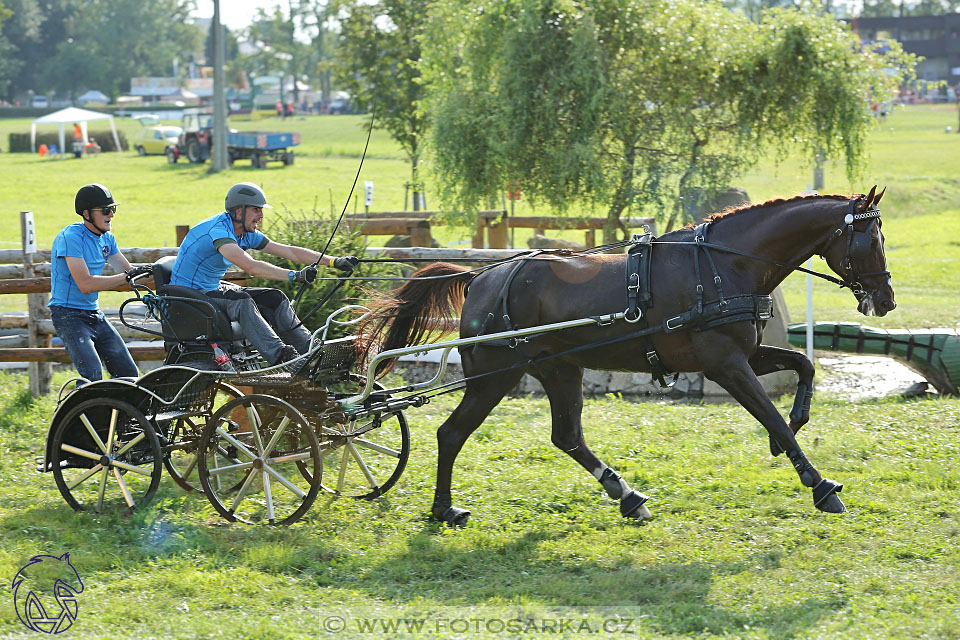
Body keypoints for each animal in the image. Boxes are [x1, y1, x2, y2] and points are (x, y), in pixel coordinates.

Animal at [358, 186, 892, 524]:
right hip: (495, 376)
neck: (724, 266)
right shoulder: (726, 365)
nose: (885, 300)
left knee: (567, 437)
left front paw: (796, 426)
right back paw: (444, 509)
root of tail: (481, 278)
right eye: (871, 240)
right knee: (452, 434)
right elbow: (771, 415)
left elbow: (803, 367)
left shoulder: (747, 354)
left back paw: (628, 496)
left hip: (559, 370)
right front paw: (820, 485)